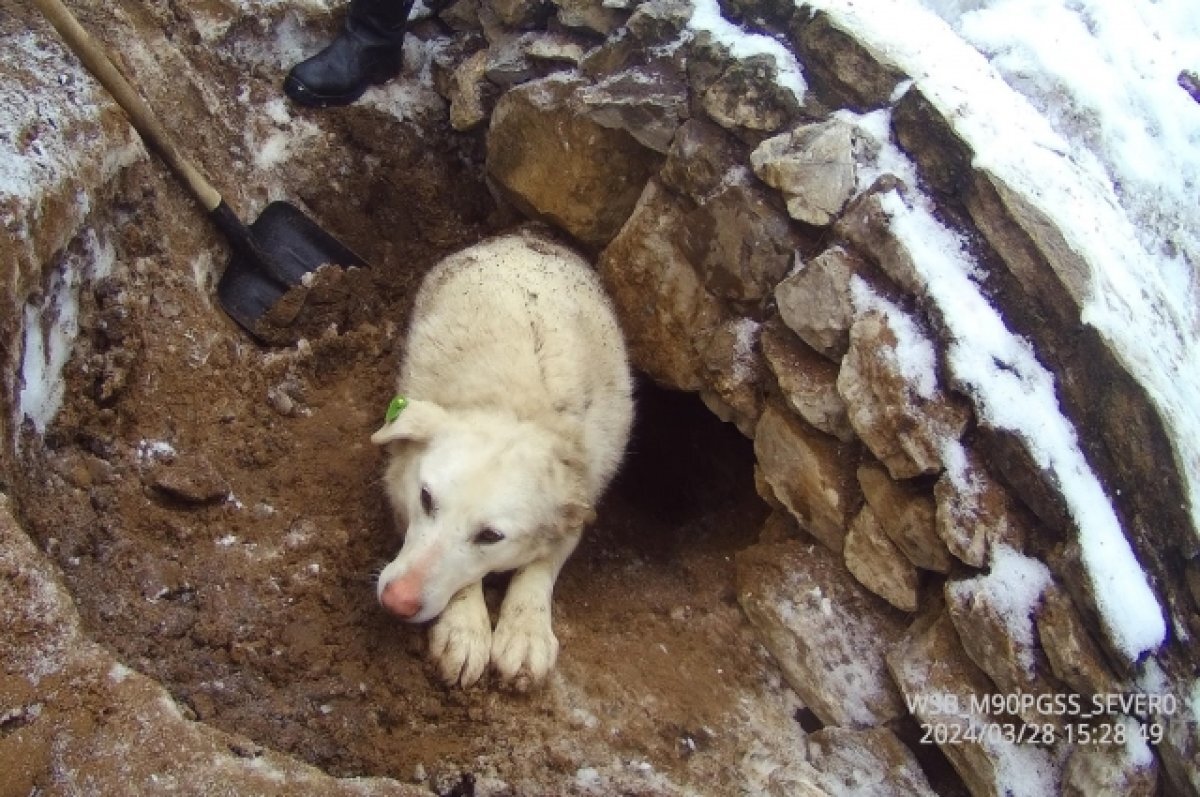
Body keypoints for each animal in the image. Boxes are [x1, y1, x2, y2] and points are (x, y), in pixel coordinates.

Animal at [372, 230, 638, 691]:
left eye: (491, 536)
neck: (519, 409)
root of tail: (524, 237)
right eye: (425, 499)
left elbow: (539, 567)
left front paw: (526, 631)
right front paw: (464, 627)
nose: (397, 601)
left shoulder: (578, 509)